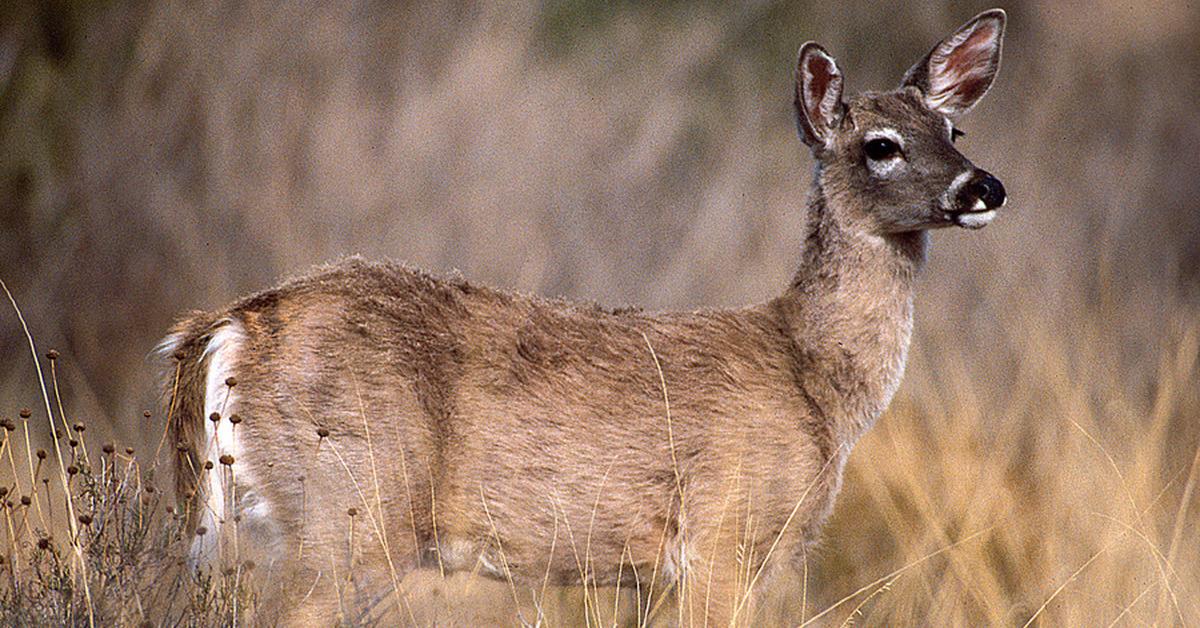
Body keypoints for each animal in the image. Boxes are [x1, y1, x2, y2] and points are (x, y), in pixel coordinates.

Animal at [159, 11, 1003, 628]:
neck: (816, 381)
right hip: (351, 510)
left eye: (954, 132)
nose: (983, 187)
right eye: (880, 146)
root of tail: (229, 326)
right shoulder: (725, 533)